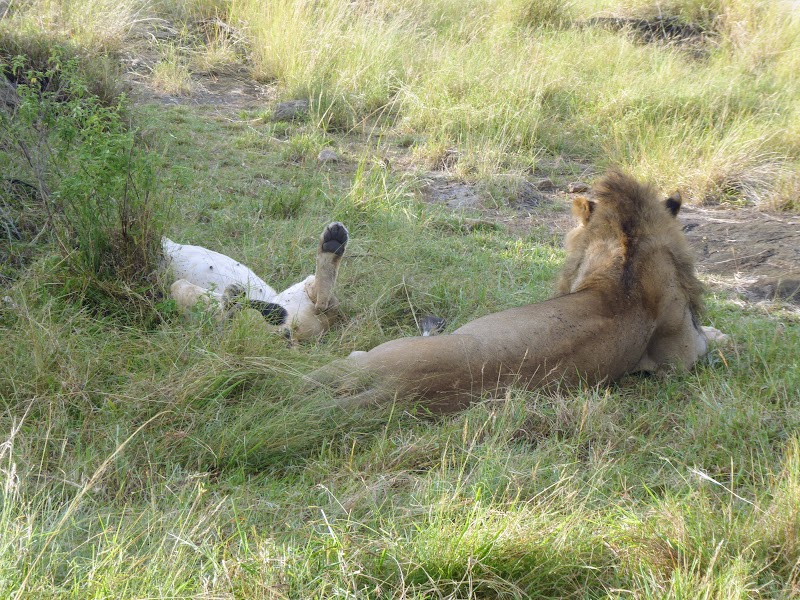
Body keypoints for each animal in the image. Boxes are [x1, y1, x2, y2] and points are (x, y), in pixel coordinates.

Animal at [308, 169, 724, 412]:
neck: (629, 261)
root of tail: (396, 389)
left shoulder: (681, 355)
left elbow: (705, 340)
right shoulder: (678, 353)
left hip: (366, 355)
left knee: (329, 316)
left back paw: (334, 243)